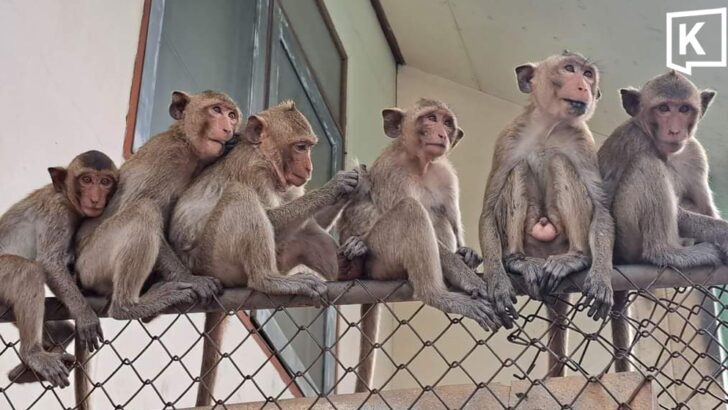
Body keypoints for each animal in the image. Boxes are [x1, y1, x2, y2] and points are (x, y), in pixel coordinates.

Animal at [0, 150, 117, 388]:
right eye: (87, 180)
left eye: (105, 182)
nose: (95, 198)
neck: (67, 198)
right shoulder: (58, 213)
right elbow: (50, 263)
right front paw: (84, 313)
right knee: (29, 272)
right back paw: (33, 354)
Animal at [167, 101, 360, 406]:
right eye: (300, 147)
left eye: (309, 147)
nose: (309, 166)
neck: (266, 159)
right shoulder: (252, 168)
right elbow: (270, 217)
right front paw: (335, 186)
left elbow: (310, 220)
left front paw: (351, 183)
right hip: (212, 259)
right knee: (241, 196)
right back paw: (268, 280)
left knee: (304, 230)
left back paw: (349, 268)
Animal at [336, 99, 500, 392]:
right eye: (431, 118)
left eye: (447, 122)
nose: (441, 134)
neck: (420, 164)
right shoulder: (393, 171)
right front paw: (472, 281)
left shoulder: (445, 174)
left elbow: (452, 219)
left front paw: (467, 255)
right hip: (381, 257)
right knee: (410, 210)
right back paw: (434, 293)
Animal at [478, 52, 615, 377]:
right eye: (569, 69)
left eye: (588, 74)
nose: (584, 87)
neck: (550, 127)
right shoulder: (508, 138)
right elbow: (488, 209)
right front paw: (497, 281)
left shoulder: (584, 142)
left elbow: (602, 209)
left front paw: (601, 277)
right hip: (531, 242)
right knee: (518, 170)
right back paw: (516, 261)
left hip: (560, 242)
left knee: (559, 162)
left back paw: (576, 257)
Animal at [598, 71, 723, 375]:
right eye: (664, 108)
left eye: (684, 109)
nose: (675, 130)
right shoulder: (634, 141)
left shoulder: (695, 153)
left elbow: (704, 206)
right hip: (627, 243)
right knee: (647, 165)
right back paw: (667, 252)